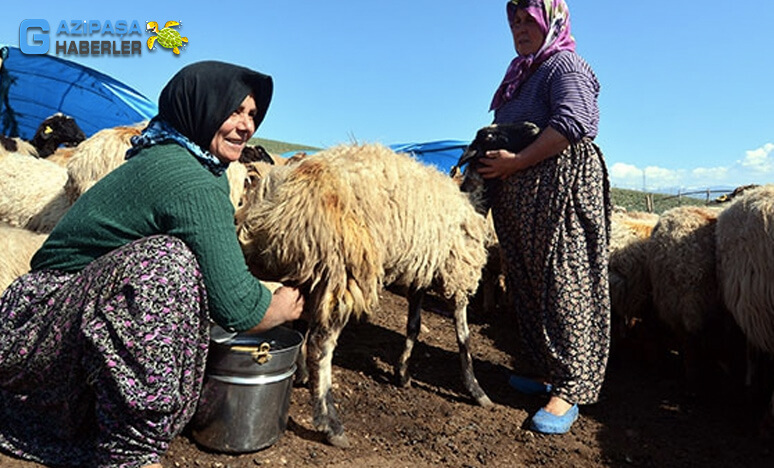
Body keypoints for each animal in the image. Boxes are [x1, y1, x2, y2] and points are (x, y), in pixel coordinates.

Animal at [236, 142, 494, 446]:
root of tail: (279, 197)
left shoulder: (420, 270)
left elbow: (414, 325)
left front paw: (403, 373)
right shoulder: (457, 272)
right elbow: (463, 337)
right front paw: (476, 390)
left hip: (300, 269)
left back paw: (301, 376)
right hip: (343, 269)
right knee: (319, 345)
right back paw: (331, 424)